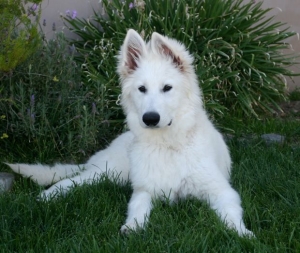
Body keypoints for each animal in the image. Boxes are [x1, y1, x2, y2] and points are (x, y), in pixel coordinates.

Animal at [7, 29, 253, 237]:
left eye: (167, 88)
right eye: (141, 89)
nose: (150, 119)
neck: (168, 144)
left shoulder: (222, 190)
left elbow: (231, 214)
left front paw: (242, 233)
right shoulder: (144, 189)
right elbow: (137, 206)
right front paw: (133, 226)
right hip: (109, 172)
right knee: (72, 180)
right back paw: (47, 195)